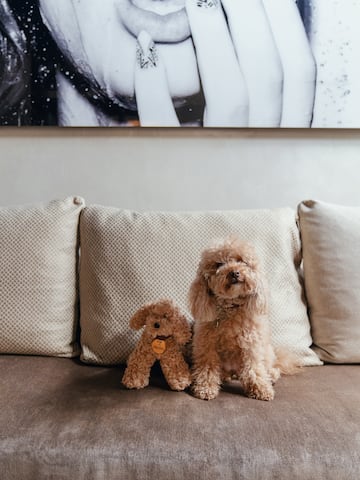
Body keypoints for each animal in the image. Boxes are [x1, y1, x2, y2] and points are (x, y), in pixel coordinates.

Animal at [190, 237, 296, 402]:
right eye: (219, 264)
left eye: (242, 261)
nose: (234, 272)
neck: (231, 309)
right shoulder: (206, 345)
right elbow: (207, 368)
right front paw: (205, 388)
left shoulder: (251, 345)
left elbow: (253, 368)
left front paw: (261, 389)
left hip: (266, 350)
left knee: (267, 366)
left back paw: (271, 375)